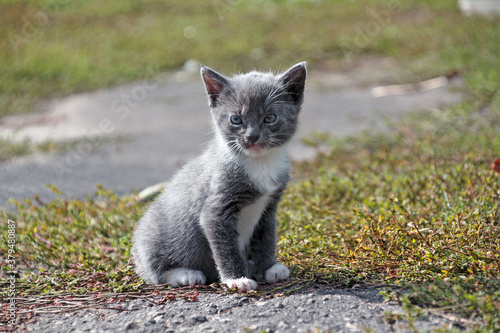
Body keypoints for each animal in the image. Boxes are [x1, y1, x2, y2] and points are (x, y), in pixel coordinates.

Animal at [132, 62, 304, 290]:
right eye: (236, 119)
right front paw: (236, 279)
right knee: (156, 272)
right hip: (153, 238)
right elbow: (225, 247)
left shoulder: (270, 206)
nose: (252, 137)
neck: (259, 163)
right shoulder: (216, 208)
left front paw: (268, 268)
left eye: (270, 118)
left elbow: (266, 238)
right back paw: (186, 274)